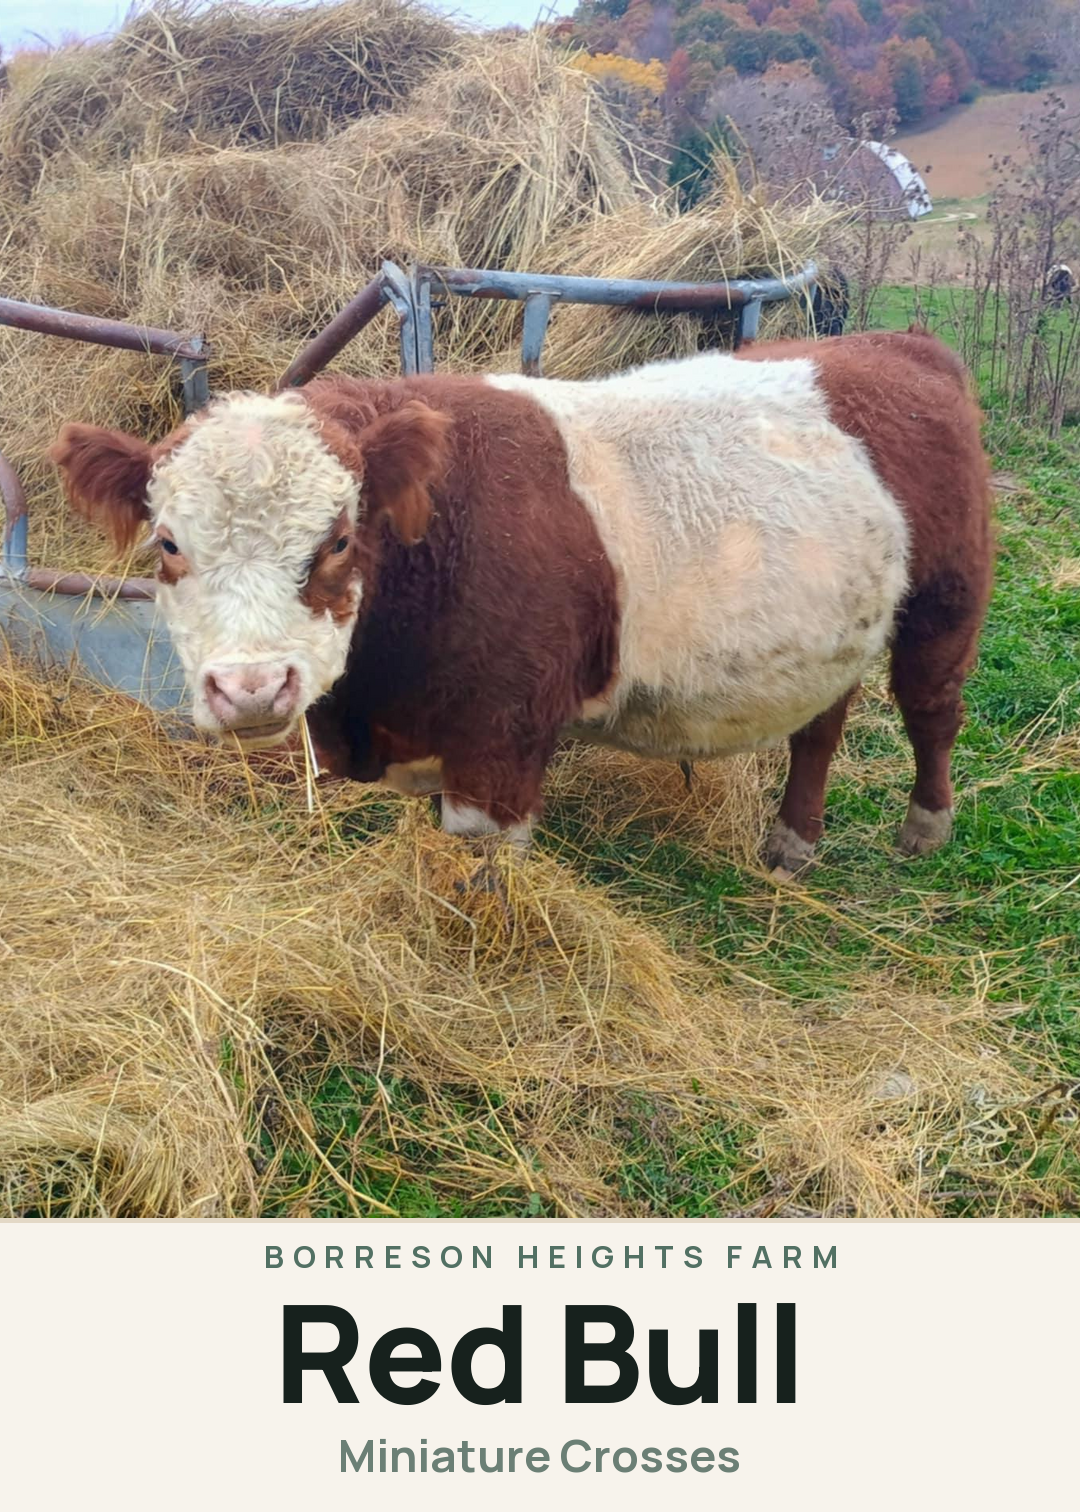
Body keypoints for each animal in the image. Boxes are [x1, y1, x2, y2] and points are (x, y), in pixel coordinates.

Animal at [50, 327, 993, 876]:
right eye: (168, 544)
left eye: (339, 539)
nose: (251, 689)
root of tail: (898, 342)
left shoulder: (499, 745)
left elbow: (484, 877)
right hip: (833, 629)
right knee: (819, 728)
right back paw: (792, 842)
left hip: (946, 600)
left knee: (932, 709)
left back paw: (927, 826)